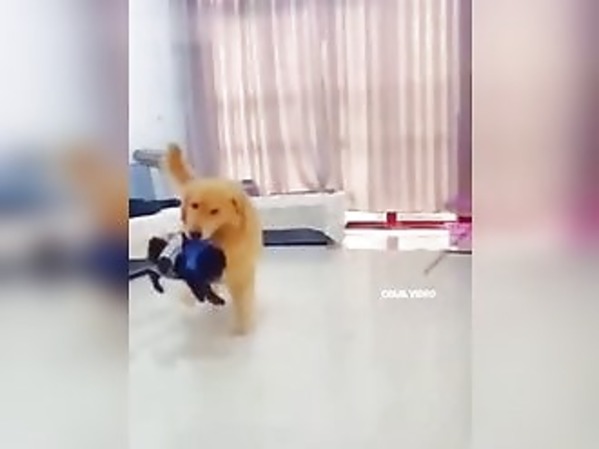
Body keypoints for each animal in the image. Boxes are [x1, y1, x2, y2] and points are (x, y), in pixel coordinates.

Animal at [164, 144, 262, 334]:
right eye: (194, 205)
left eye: (214, 211)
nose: (194, 233)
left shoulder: (242, 274)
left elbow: (243, 304)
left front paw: (241, 329)